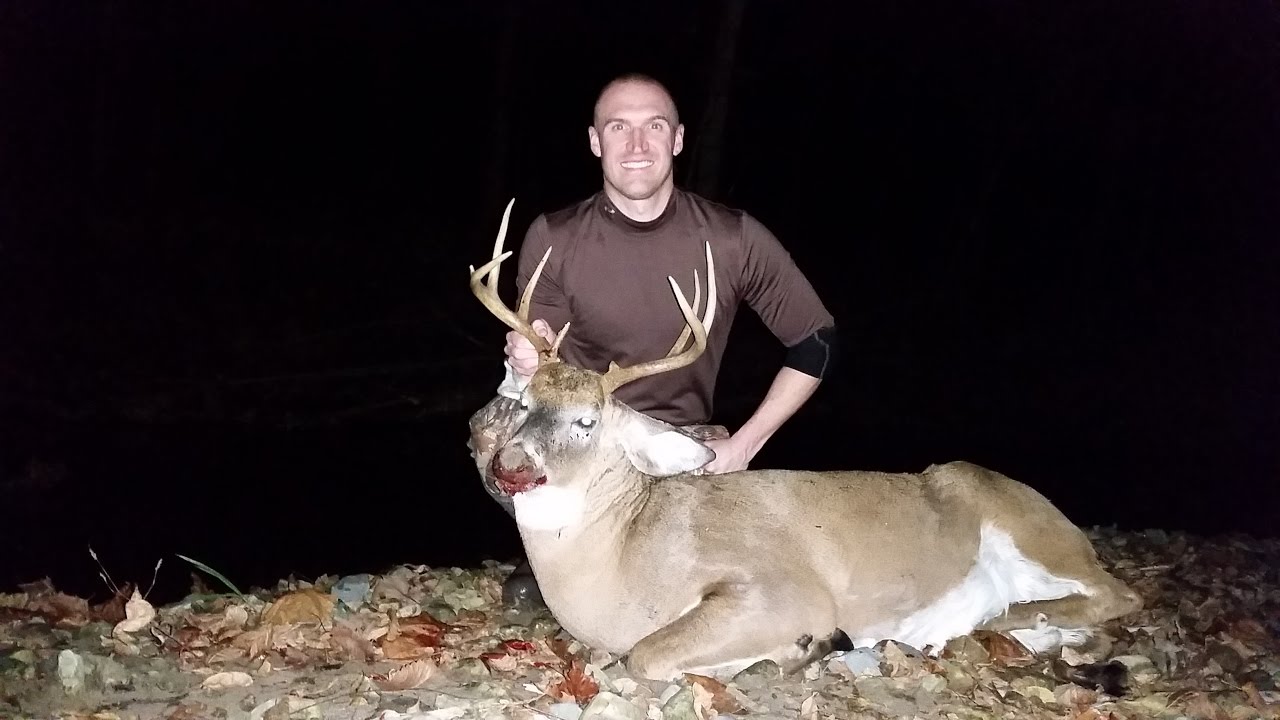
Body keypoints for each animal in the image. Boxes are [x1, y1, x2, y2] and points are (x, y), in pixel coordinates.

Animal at [465, 201, 1143, 682]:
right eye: (524, 405)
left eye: (588, 421)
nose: (511, 465)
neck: (623, 558)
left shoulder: (783, 590)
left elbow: (647, 653)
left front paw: (799, 650)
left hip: (1029, 529)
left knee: (1119, 591)